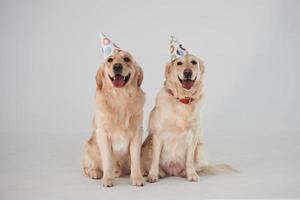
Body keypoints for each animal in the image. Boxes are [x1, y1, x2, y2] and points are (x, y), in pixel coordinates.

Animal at [82, 33, 145, 187]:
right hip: (90, 146)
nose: (117, 66)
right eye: (110, 60)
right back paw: (95, 172)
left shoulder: (137, 134)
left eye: (126, 59)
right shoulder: (103, 135)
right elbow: (107, 161)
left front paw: (137, 177)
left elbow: (135, 160)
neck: (120, 98)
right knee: (87, 166)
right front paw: (107, 179)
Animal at [141, 36, 234, 183]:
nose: (188, 72)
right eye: (179, 63)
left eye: (193, 62)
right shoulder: (158, 135)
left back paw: (188, 172)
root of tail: (172, 172)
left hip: (201, 148)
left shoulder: (193, 136)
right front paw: (153, 175)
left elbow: (189, 159)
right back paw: (154, 173)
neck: (182, 100)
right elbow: (155, 160)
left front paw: (191, 174)